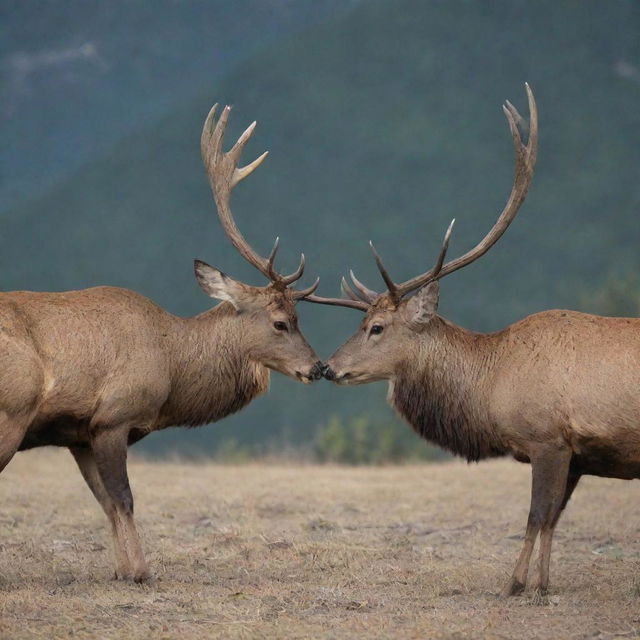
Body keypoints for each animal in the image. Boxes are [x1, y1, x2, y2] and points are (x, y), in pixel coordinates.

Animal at [0, 102, 322, 584]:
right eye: (282, 322)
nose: (318, 367)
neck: (171, 369)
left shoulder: (79, 434)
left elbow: (106, 503)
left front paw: (120, 568)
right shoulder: (113, 417)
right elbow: (124, 499)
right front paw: (138, 571)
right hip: (12, 408)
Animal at [310, 84, 640, 596]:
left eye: (377, 327)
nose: (329, 366)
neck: (491, 391)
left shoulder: (549, 438)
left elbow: (535, 516)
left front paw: (518, 585)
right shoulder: (576, 455)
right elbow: (553, 520)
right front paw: (542, 583)